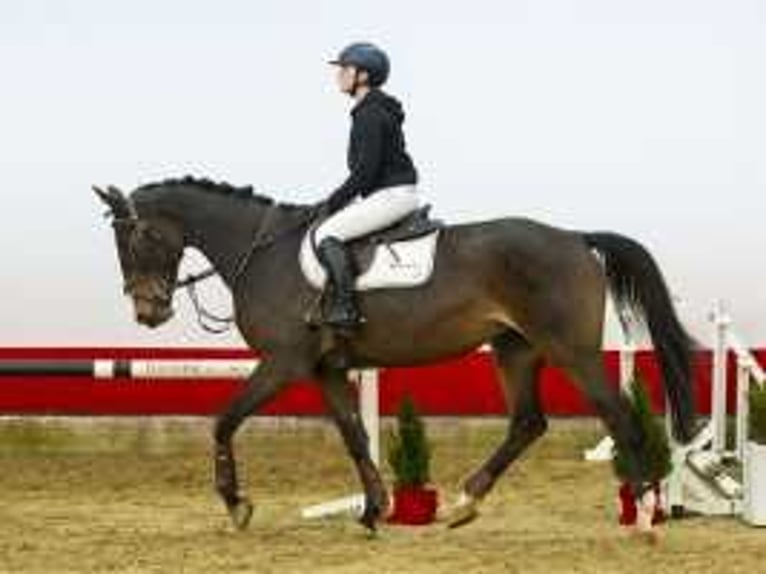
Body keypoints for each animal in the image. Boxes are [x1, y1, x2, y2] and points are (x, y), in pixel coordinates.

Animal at [93, 178, 700, 536]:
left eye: (136, 239)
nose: (149, 312)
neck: (260, 252)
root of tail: (575, 237)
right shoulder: (326, 370)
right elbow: (353, 435)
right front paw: (373, 509)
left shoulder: (284, 363)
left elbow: (224, 421)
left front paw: (236, 504)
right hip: (516, 349)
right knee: (528, 422)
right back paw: (464, 503)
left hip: (568, 348)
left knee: (617, 415)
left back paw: (645, 513)